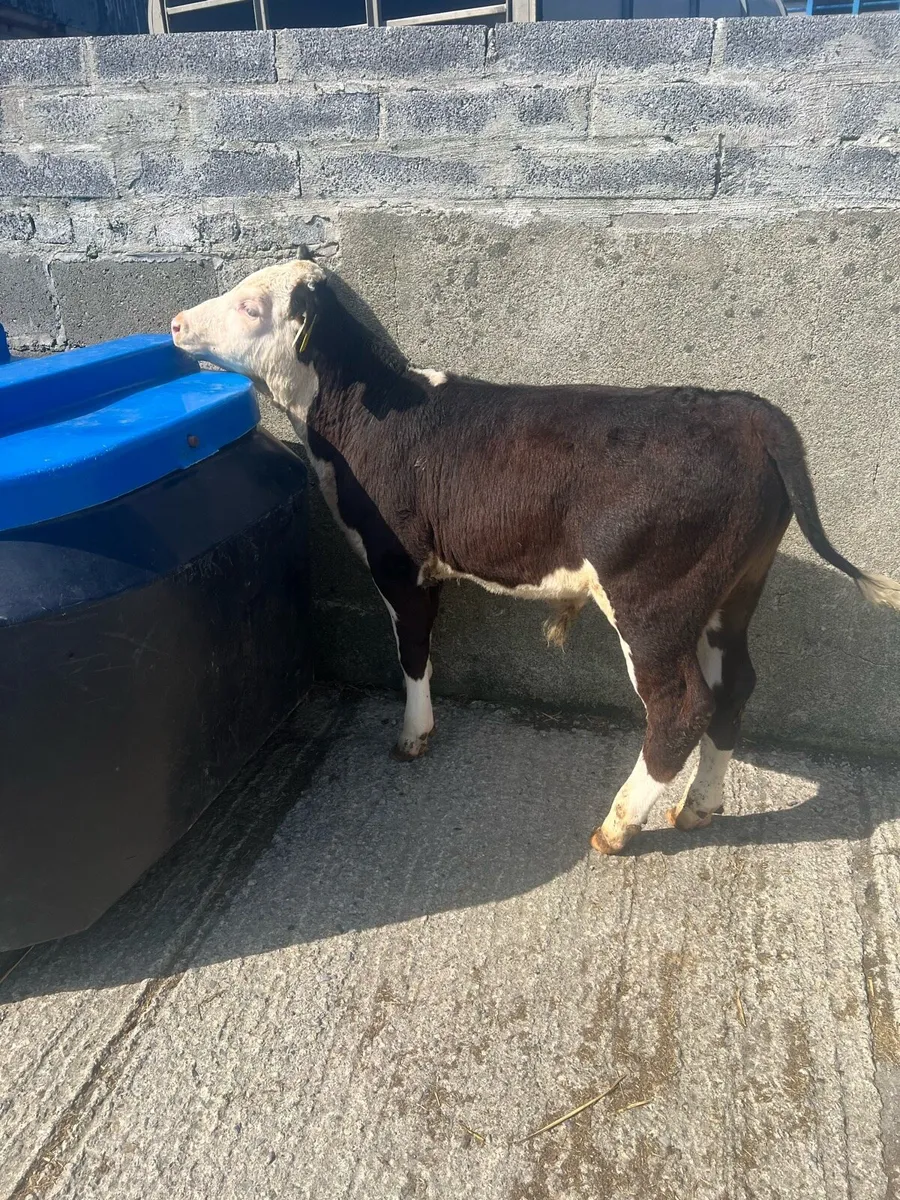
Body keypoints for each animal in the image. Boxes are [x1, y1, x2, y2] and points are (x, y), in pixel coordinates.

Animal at [171, 255, 900, 855]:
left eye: (251, 306)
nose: (176, 321)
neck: (365, 416)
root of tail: (746, 412)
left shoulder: (399, 560)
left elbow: (412, 649)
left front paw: (413, 735)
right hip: (734, 590)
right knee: (736, 685)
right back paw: (698, 807)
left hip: (652, 598)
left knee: (681, 706)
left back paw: (617, 827)